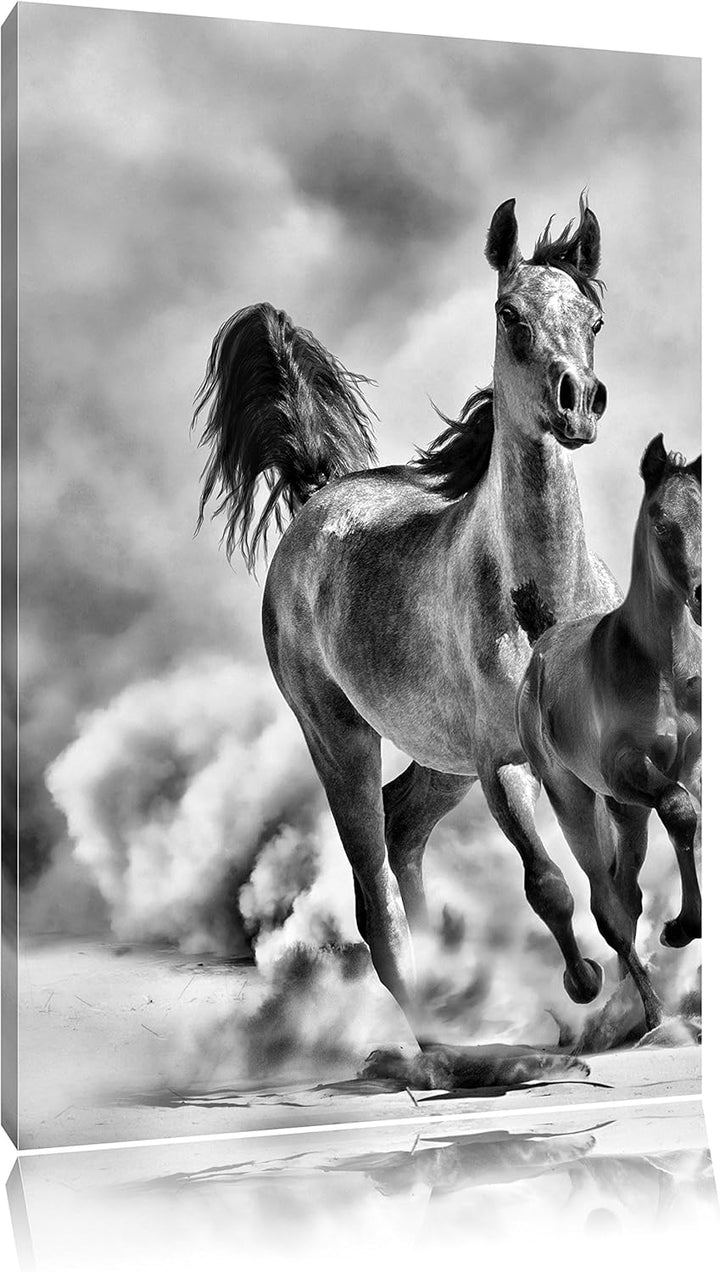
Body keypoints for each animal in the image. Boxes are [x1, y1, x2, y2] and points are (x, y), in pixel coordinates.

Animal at [194, 196, 621, 1063]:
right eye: (510, 315)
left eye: (593, 319)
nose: (577, 401)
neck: (545, 604)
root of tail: (320, 497)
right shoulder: (503, 765)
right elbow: (550, 884)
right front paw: (585, 983)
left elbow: (611, 869)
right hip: (343, 740)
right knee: (375, 891)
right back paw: (441, 1044)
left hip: (439, 760)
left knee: (403, 829)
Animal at [512, 434, 701, 1032]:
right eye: (660, 519)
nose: (701, 594)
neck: (662, 666)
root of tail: (543, 639)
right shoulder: (626, 767)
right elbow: (681, 810)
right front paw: (683, 928)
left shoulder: (692, 763)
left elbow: (690, 819)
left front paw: (684, 927)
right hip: (576, 797)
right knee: (605, 904)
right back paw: (652, 1015)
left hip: (624, 811)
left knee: (626, 889)